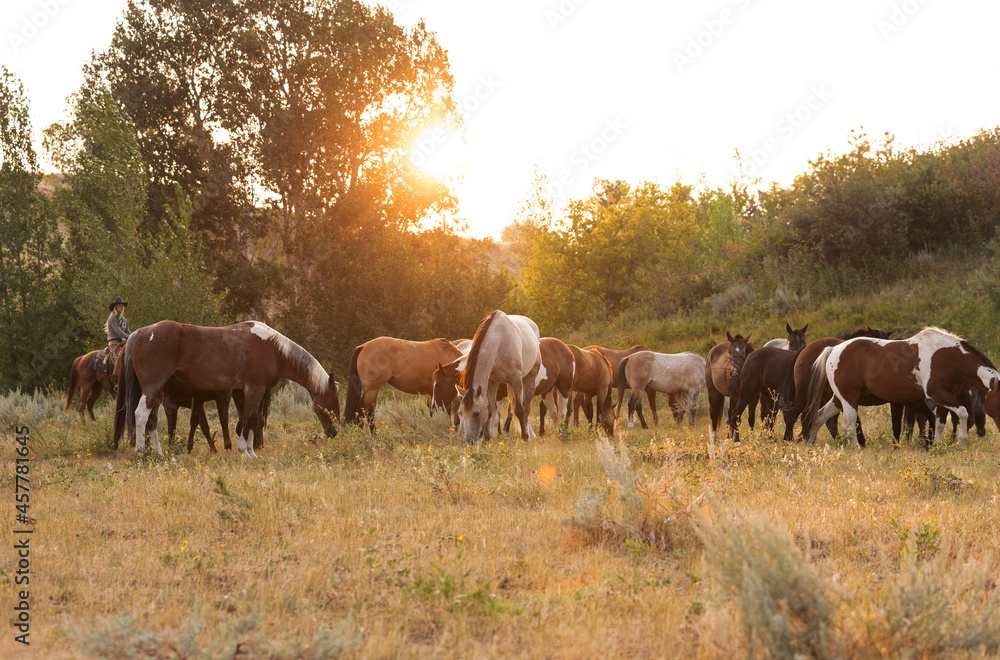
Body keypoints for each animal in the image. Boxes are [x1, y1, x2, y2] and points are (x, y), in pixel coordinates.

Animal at [113, 321, 339, 457]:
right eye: (333, 401)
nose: (334, 432)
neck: (274, 349)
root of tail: (141, 332)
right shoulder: (254, 388)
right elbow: (248, 418)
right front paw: (245, 451)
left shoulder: (247, 391)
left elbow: (253, 419)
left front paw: (251, 451)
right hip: (152, 388)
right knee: (140, 415)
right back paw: (141, 452)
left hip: (157, 392)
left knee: (151, 419)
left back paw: (158, 452)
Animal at [457, 311, 541, 443]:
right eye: (460, 413)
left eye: (476, 413)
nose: (468, 441)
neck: (499, 342)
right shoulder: (492, 382)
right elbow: (490, 409)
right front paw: (487, 437)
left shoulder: (516, 380)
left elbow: (519, 409)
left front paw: (525, 436)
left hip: (530, 377)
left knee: (526, 406)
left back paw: (529, 434)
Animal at [801, 327, 1000, 449]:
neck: (948, 356)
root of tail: (833, 349)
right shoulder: (937, 394)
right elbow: (963, 412)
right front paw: (961, 444)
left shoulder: (946, 395)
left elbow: (940, 422)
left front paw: (936, 445)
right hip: (849, 398)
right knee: (849, 425)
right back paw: (857, 448)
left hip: (839, 399)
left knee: (819, 417)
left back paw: (809, 443)